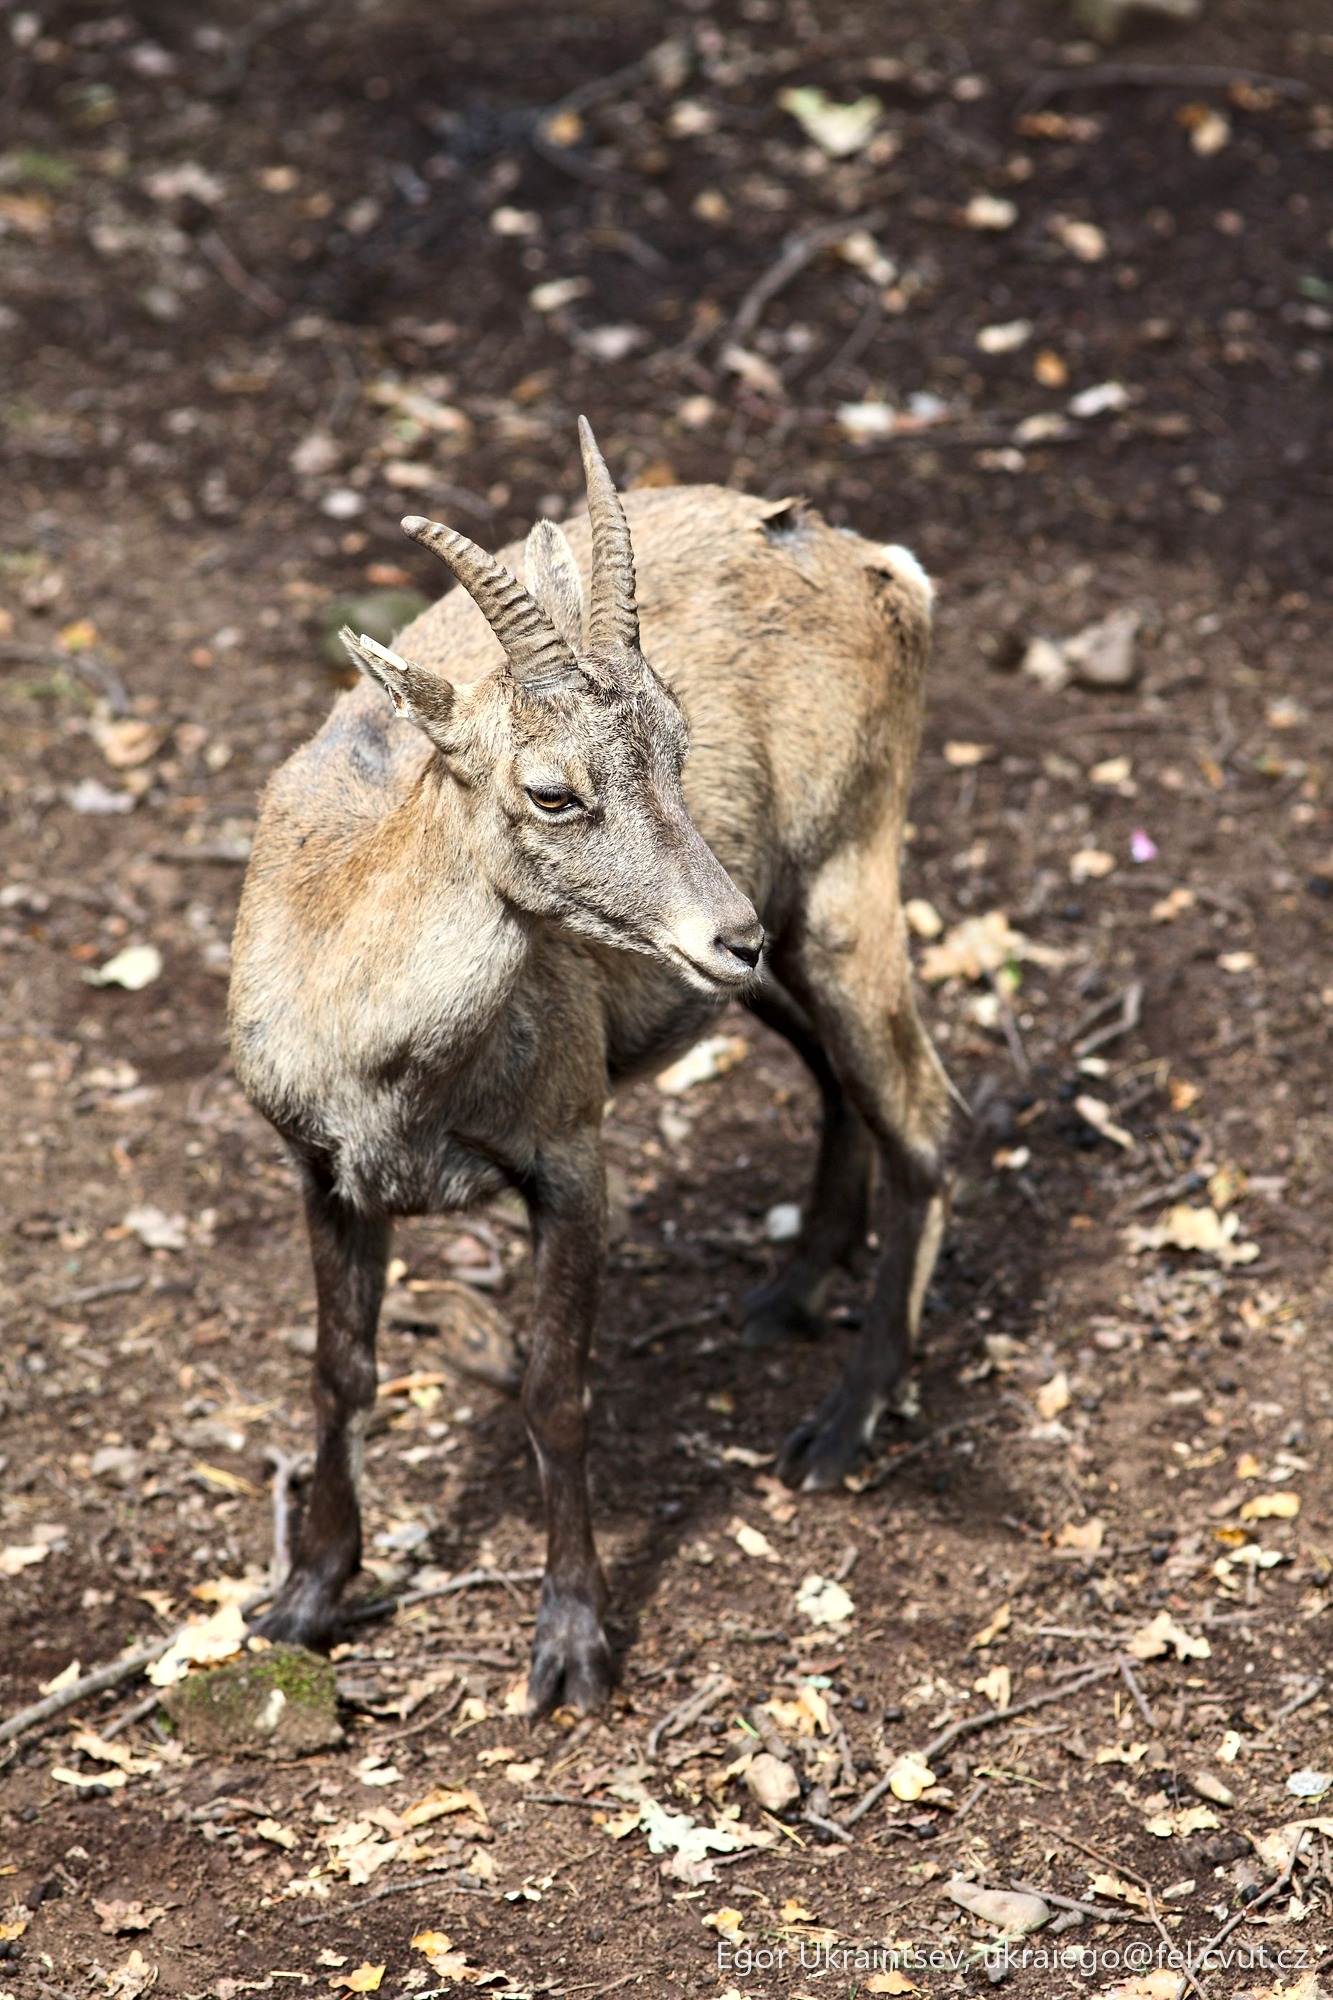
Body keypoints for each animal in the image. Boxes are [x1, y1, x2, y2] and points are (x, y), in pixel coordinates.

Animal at [228, 419, 950, 1714]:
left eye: (678, 741)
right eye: (552, 789)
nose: (727, 930)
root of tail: (885, 568)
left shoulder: (567, 1153)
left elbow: (555, 1391)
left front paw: (571, 1644)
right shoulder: (317, 1168)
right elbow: (341, 1369)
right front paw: (302, 1601)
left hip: (841, 879)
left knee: (923, 1115)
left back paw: (840, 1423)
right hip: (755, 962)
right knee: (840, 1084)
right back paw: (786, 1289)